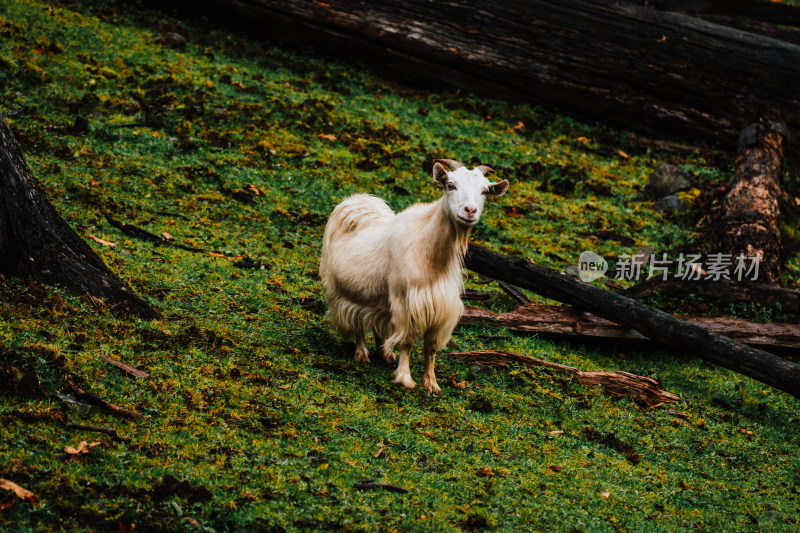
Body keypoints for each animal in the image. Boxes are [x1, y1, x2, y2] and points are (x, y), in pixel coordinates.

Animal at [318, 158, 510, 390]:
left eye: (484, 191)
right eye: (450, 185)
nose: (470, 211)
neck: (432, 255)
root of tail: (354, 202)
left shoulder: (440, 307)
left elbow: (431, 347)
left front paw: (431, 383)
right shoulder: (405, 301)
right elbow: (407, 341)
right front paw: (405, 378)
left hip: (378, 297)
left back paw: (385, 354)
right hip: (341, 290)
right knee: (355, 320)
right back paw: (362, 354)